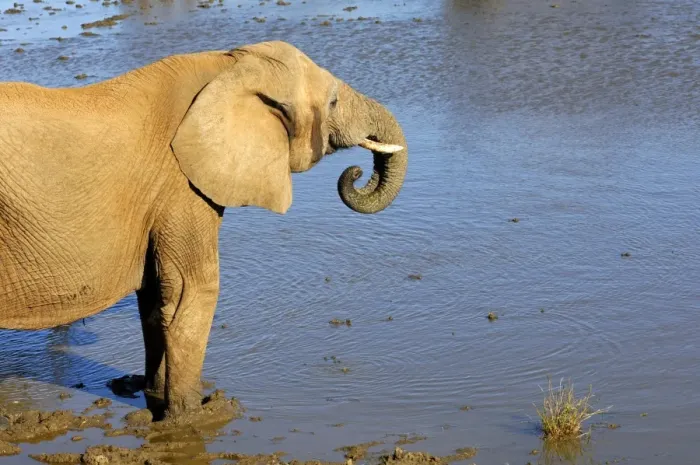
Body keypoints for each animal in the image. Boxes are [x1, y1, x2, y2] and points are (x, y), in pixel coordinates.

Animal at [0, 41, 408, 419]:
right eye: (334, 101)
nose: (355, 173)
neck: (225, 65)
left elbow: (156, 297)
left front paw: (154, 395)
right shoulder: (180, 182)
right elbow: (194, 289)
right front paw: (196, 414)